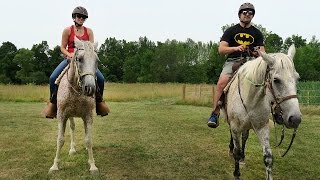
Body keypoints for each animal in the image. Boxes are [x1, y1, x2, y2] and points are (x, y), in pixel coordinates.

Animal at [48, 37, 99, 174]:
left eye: (97, 61)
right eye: (79, 59)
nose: (90, 88)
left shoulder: (88, 116)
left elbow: (88, 139)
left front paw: (92, 165)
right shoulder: (62, 115)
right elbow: (60, 140)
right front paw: (55, 165)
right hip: (70, 115)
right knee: (72, 127)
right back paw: (72, 149)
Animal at [221, 44, 302, 179]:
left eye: (297, 78)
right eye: (276, 80)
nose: (295, 119)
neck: (251, 99)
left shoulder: (261, 128)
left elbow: (268, 158)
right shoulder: (235, 127)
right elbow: (236, 151)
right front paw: (236, 173)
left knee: (244, 138)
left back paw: (242, 158)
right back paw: (231, 150)